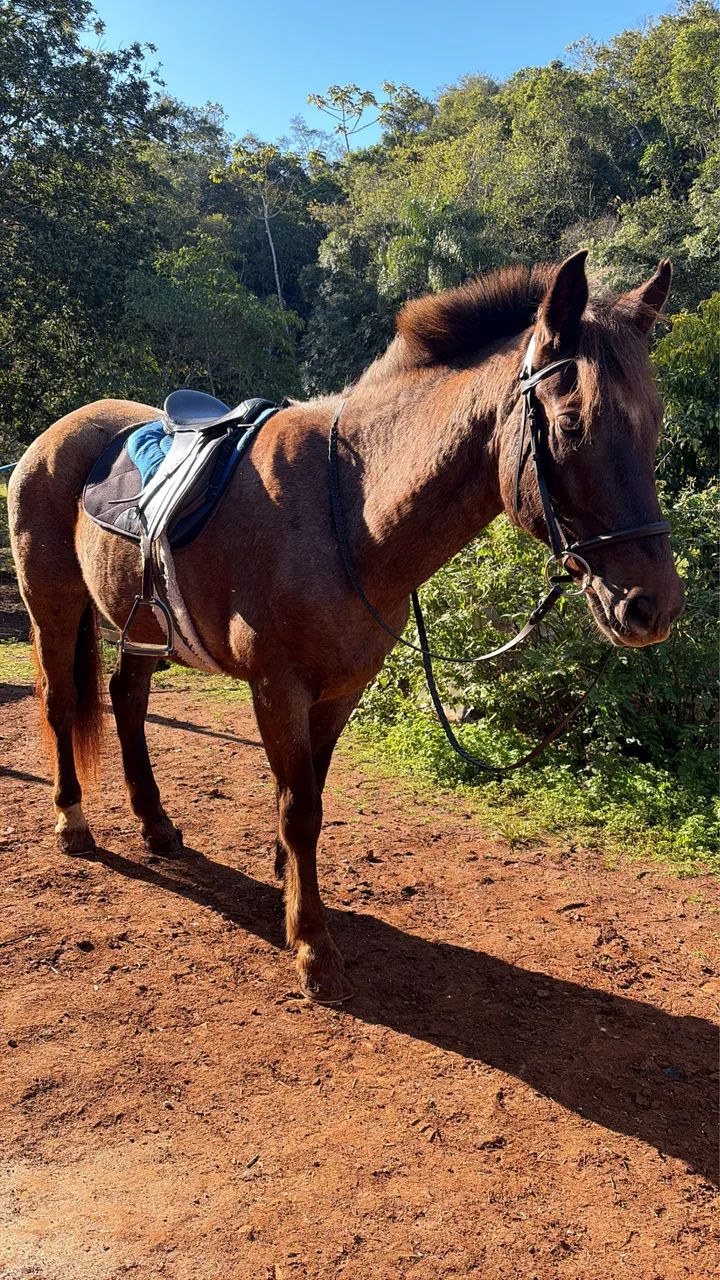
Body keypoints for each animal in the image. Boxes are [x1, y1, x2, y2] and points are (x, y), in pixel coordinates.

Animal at [8, 251, 685, 1002]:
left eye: (653, 425)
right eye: (570, 426)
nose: (654, 607)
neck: (347, 509)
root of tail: (59, 433)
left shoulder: (340, 690)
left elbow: (311, 795)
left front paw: (287, 881)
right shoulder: (277, 687)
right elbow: (299, 806)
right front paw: (311, 945)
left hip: (146, 629)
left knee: (127, 701)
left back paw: (155, 824)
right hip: (52, 605)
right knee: (61, 701)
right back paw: (73, 822)